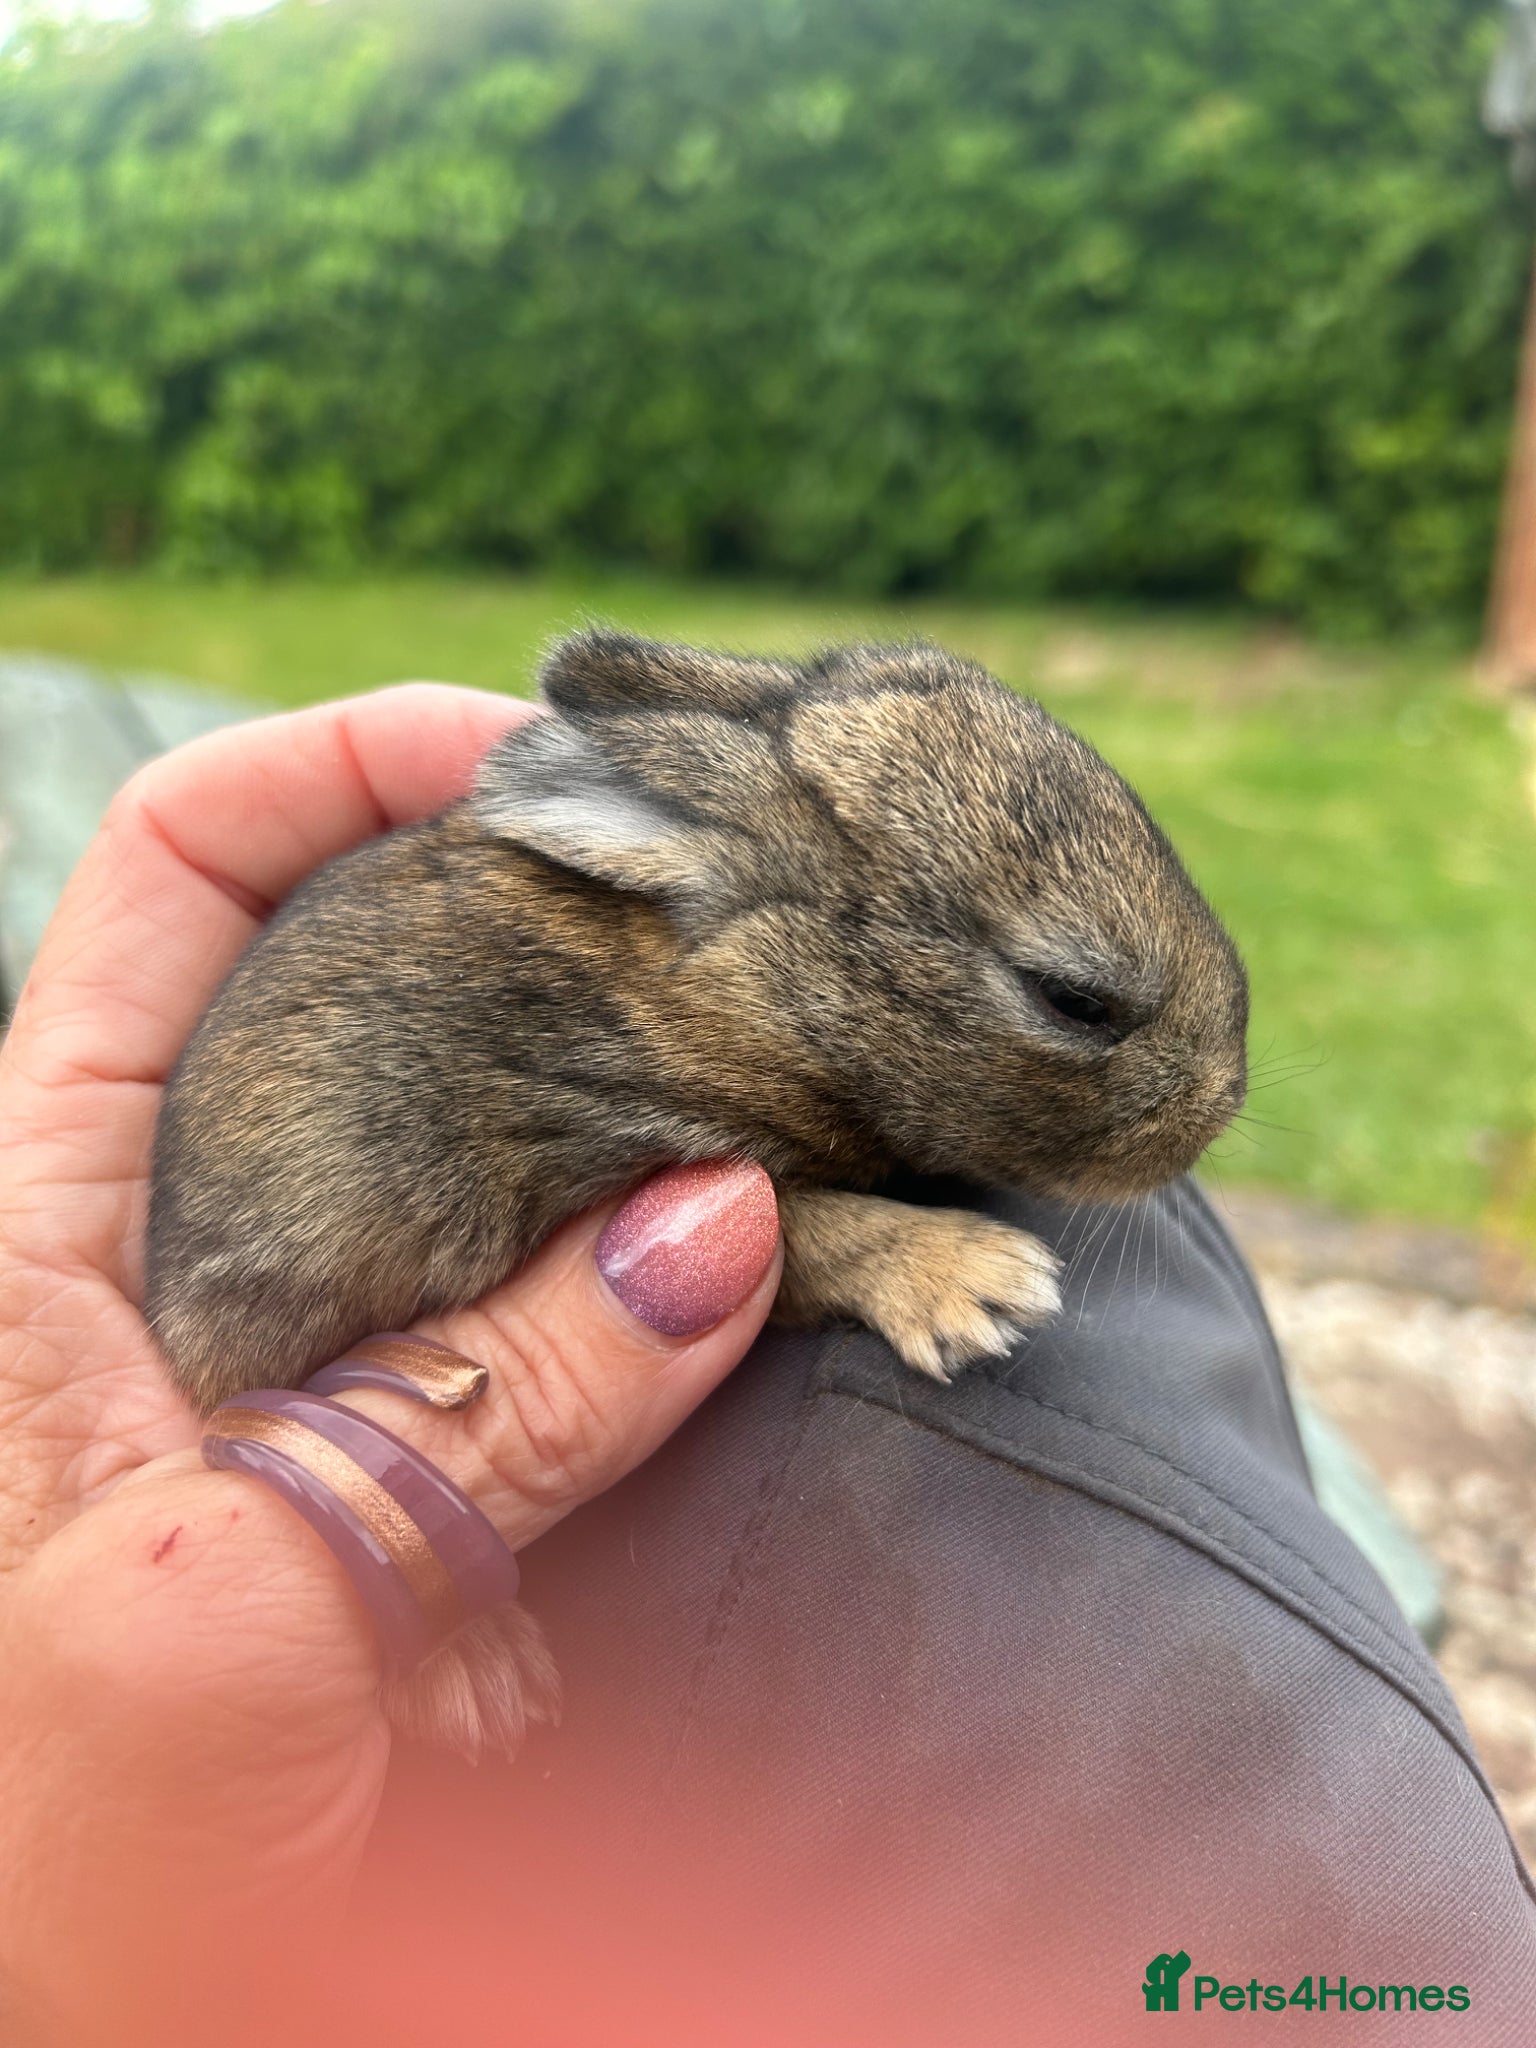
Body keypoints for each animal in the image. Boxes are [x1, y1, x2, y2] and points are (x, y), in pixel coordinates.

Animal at [145, 630, 1249, 1759]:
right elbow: (816, 1236)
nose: (1222, 1103)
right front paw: (983, 1285)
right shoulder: (649, 1167)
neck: (767, 984)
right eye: (1072, 998)